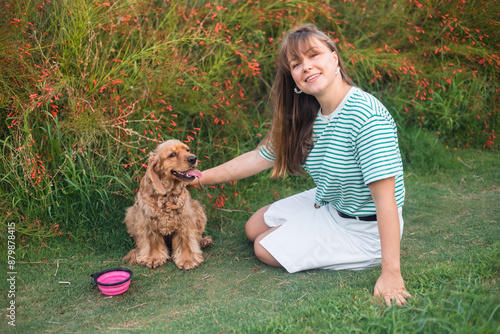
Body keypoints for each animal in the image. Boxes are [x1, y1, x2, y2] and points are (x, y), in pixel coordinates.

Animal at [124, 140, 213, 270]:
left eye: (187, 150)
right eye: (172, 154)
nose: (193, 158)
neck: (168, 194)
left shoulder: (185, 219)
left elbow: (186, 241)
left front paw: (188, 260)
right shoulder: (148, 220)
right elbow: (152, 242)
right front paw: (153, 259)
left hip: (197, 208)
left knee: (197, 236)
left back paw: (204, 241)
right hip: (131, 214)